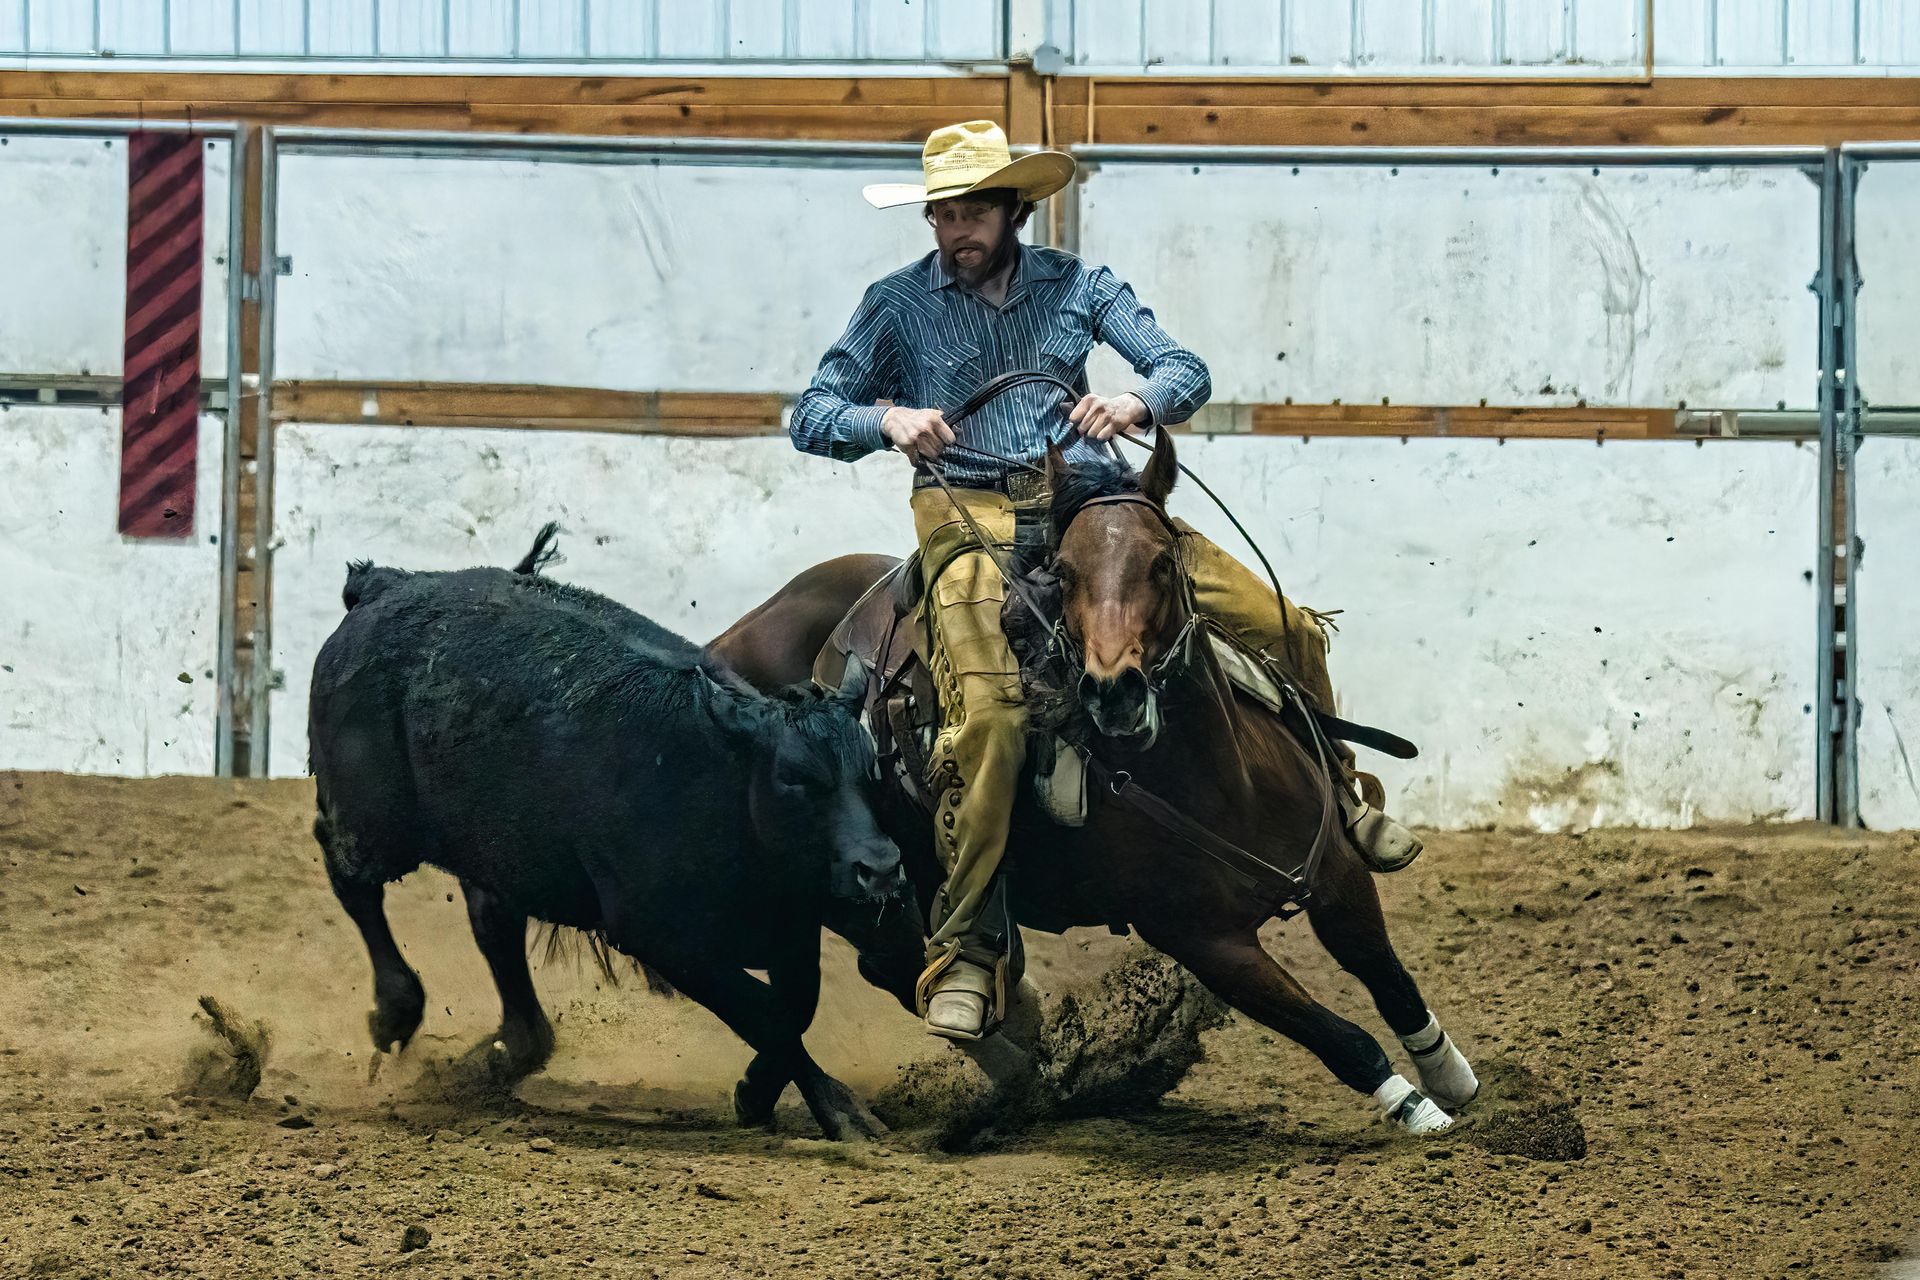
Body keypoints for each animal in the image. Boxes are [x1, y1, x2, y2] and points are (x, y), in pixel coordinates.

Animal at [707, 428, 1477, 1134]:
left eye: (1163, 561)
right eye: (1066, 572)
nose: (1114, 689)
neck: (1223, 788)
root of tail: (730, 642)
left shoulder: (1334, 873)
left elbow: (1389, 978)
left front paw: (1451, 1078)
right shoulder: (1204, 942)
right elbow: (1340, 1037)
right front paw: (1418, 1110)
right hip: (850, 885)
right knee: (877, 969)